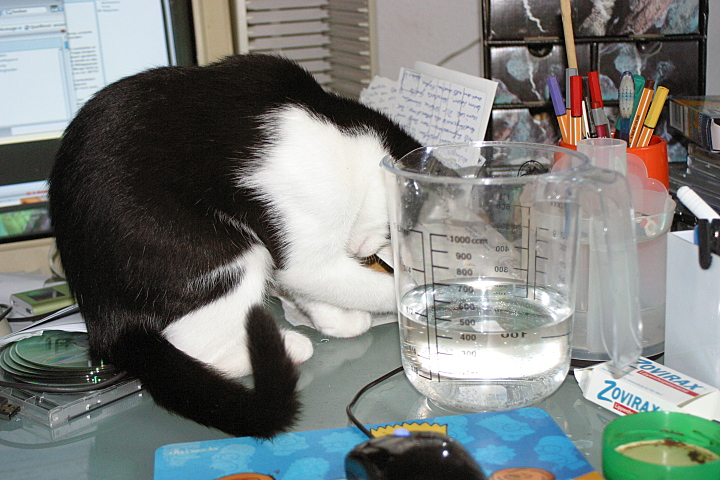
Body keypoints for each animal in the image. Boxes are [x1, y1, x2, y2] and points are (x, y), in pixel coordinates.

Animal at [48, 53, 420, 438]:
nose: (365, 252)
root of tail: (105, 322)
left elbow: (313, 288)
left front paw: (334, 319)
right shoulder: (312, 235)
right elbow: (344, 282)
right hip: (222, 251)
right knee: (197, 347)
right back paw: (286, 347)